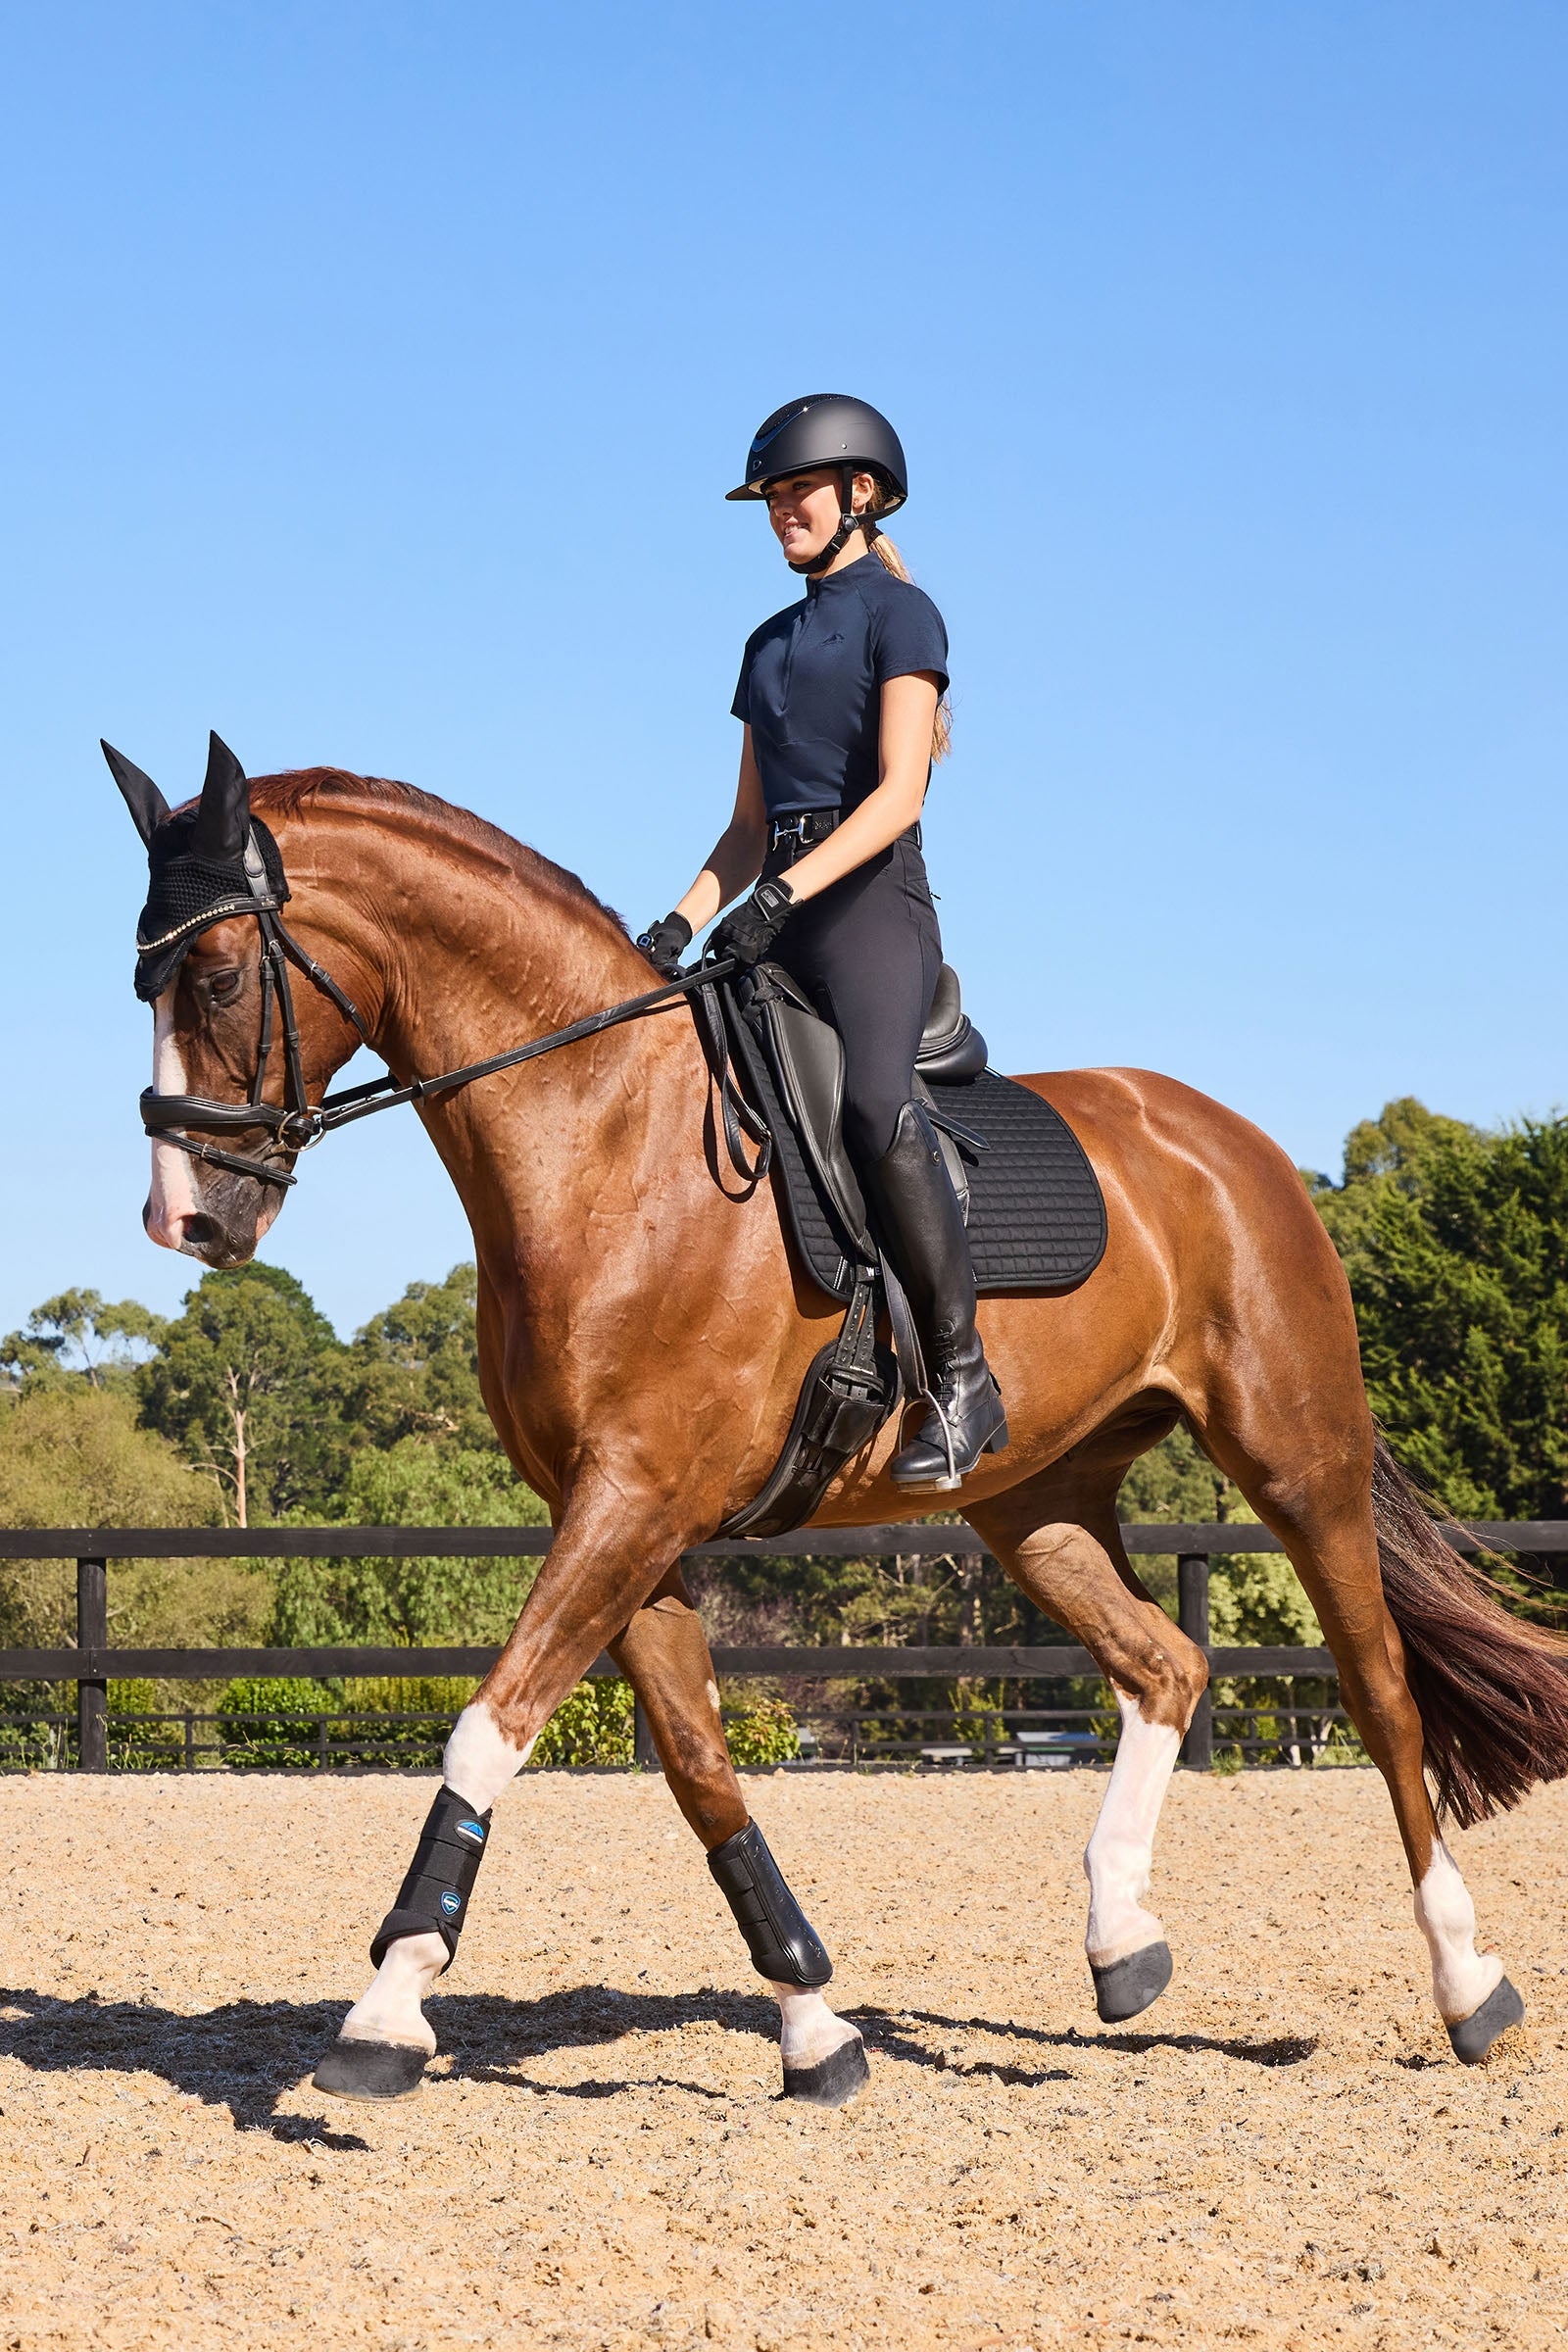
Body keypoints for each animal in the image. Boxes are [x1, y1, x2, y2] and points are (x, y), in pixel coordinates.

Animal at [113, 739, 1568, 2103]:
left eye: (221, 977)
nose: (186, 1220)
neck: (605, 1135)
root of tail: (1238, 1143)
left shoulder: (631, 1500)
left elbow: (489, 1727)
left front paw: (386, 2008)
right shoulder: (624, 1520)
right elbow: (699, 1769)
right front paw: (814, 2028)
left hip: (1296, 1460)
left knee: (1382, 1698)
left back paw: (1467, 1984)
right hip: (1035, 1504)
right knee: (1165, 1664)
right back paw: (1121, 1942)